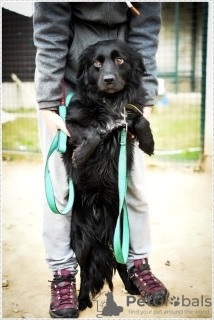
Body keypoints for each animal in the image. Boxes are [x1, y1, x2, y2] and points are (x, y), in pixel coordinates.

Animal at [62, 39, 155, 310]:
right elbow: (91, 133)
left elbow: (141, 120)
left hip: (122, 235)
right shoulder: (67, 125)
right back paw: (81, 300)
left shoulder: (129, 115)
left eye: (120, 60)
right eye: (96, 63)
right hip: (81, 241)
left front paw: (149, 144)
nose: (109, 79)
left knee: (123, 265)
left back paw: (134, 287)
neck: (109, 103)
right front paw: (80, 157)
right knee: (84, 273)